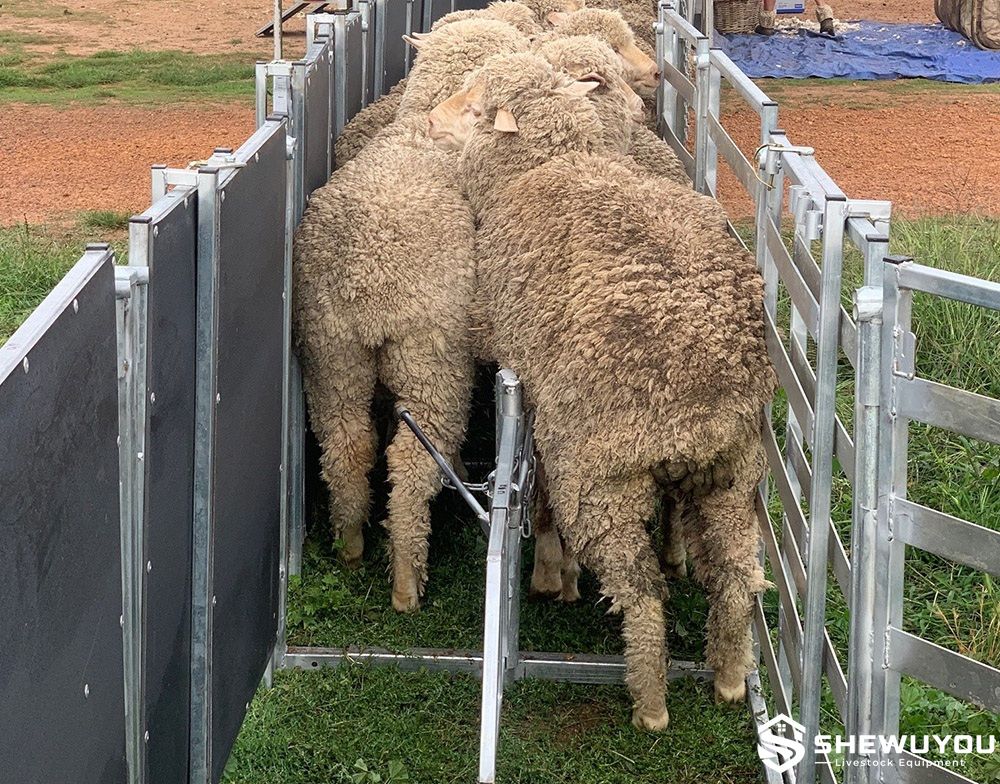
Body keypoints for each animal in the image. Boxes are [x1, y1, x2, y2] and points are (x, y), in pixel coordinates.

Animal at [294, 19, 531, 614]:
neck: (421, 137)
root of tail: (367, 285)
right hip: (432, 364)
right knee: (411, 462)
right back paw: (406, 579)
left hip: (331, 356)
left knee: (348, 444)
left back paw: (350, 544)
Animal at [427, 52, 775, 729]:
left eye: (476, 106)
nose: (429, 119)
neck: (547, 164)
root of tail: (704, 408)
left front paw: (550, 572)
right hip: (735, 473)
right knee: (735, 575)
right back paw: (726, 676)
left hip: (600, 478)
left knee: (641, 594)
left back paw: (650, 702)